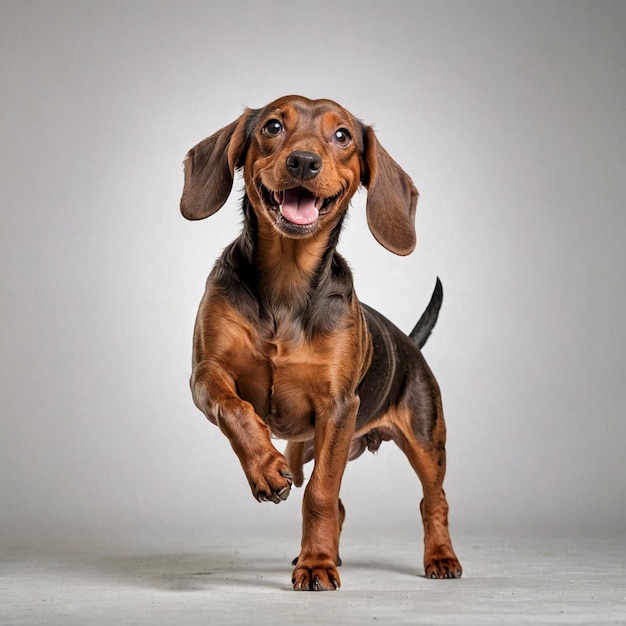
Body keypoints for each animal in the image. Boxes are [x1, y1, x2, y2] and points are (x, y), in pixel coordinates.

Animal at [178, 95, 460, 588]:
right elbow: (233, 408)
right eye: (272, 126)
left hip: (424, 441)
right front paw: (264, 470)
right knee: (327, 491)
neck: (287, 284)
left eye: (342, 135)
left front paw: (316, 566)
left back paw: (440, 558)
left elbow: (322, 494)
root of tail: (409, 344)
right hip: (302, 447)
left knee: (433, 501)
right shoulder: (206, 374)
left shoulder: (337, 407)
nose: (304, 162)